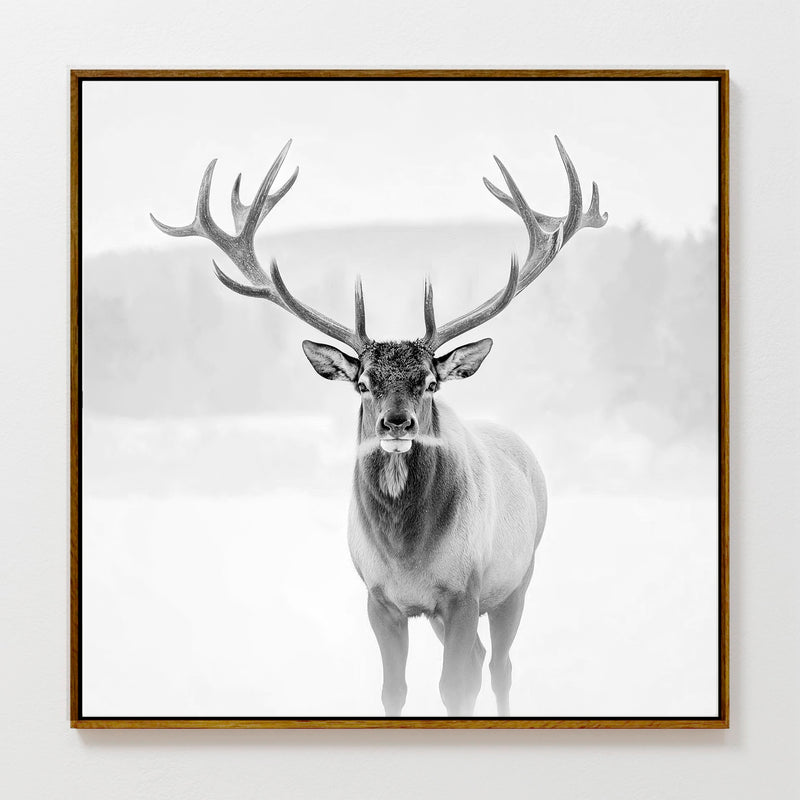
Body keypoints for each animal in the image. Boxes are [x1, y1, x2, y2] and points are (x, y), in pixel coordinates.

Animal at [151, 137, 606, 717]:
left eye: (430, 382)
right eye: (363, 382)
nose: (396, 421)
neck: (406, 554)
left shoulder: (464, 589)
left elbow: (455, 688)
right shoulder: (378, 597)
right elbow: (395, 690)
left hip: (517, 577)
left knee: (499, 667)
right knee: (484, 658)